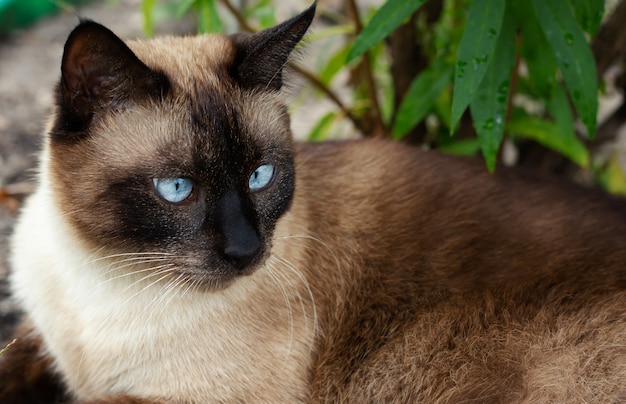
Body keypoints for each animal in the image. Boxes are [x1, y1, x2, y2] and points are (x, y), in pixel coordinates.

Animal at [1, 3, 624, 404]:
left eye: (260, 176)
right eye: (177, 188)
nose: (246, 249)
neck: (103, 274)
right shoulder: (39, 336)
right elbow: (13, 356)